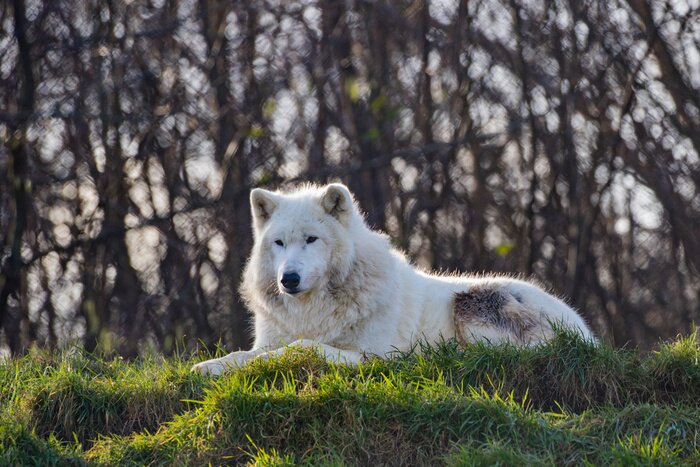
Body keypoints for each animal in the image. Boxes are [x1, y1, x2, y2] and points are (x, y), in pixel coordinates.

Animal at [192, 183, 594, 375]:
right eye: (279, 243)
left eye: (311, 239)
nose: (289, 279)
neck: (312, 312)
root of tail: (588, 334)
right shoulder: (269, 339)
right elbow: (243, 354)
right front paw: (207, 368)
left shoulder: (374, 355)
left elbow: (300, 348)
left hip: (472, 300)